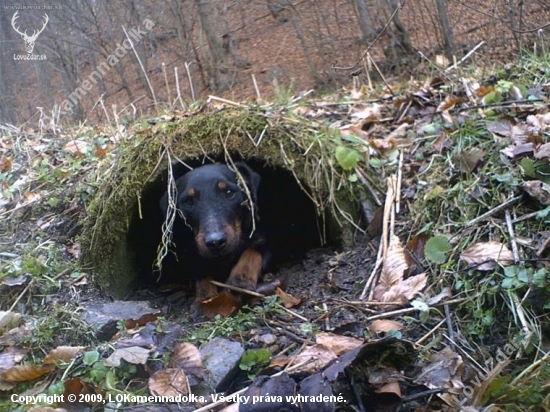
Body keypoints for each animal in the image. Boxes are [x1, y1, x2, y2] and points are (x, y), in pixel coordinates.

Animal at [160, 163, 266, 310]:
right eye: (188, 201)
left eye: (229, 192)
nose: (215, 242)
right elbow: (201, 270)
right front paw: (205, 298)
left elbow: (252, 251)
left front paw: (241, 279)